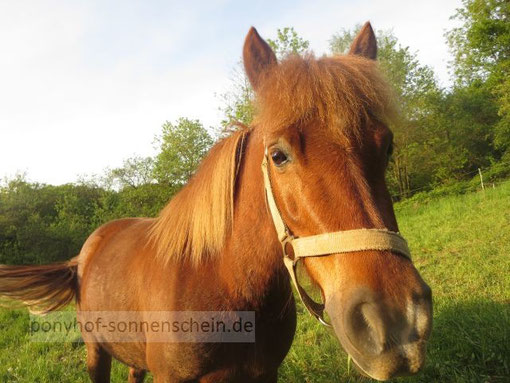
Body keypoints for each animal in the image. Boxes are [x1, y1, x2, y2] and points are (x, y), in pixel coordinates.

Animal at [0, 22, 430, 382]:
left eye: (387, 147)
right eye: (278, 155)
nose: (394, 322)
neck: (221, 280)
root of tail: (85, 252)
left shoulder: (264, 374)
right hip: (96, 351)